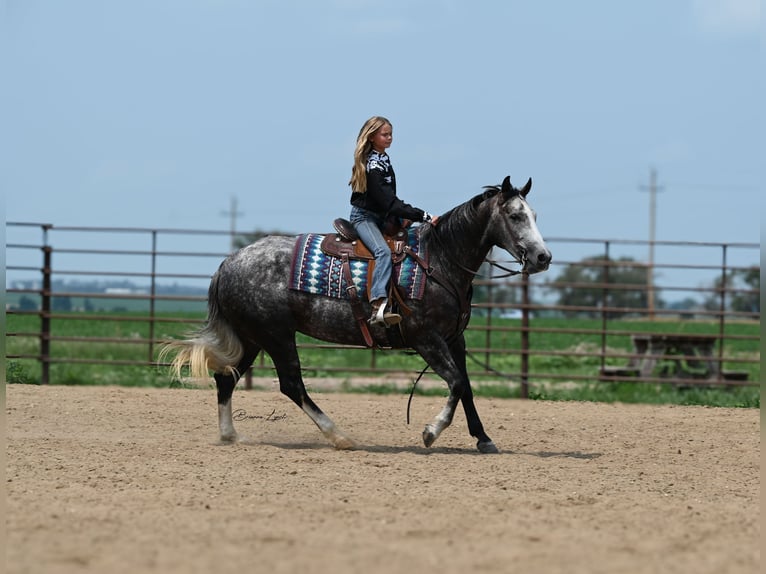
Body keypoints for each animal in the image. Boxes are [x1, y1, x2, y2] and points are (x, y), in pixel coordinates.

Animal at [165, 176, 556, 454]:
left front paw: (484, 439)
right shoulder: (426, 339)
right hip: (276, 336)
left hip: (252, 338)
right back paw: (339, 436)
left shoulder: (454, 339)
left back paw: (230, 435)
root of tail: (228, 263)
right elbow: (457, 384)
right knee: (291, 384)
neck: (439, 259)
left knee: (226, 379)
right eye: (515, 215)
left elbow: (467, 387)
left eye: (535, 215)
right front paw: (431, 432)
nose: (543, 257)